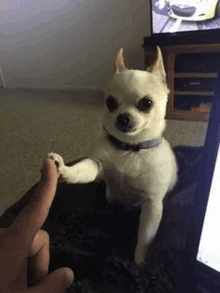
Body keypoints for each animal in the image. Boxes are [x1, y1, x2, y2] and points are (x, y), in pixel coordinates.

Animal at [47, 46, 177, 264]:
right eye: (110, 103)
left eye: (146, 103)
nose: (123, 117)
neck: (130, 148)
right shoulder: (96, 164)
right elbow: (82, 170)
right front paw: (66, 170)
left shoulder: (152, 206)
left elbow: (144, 236)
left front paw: (139, 261)